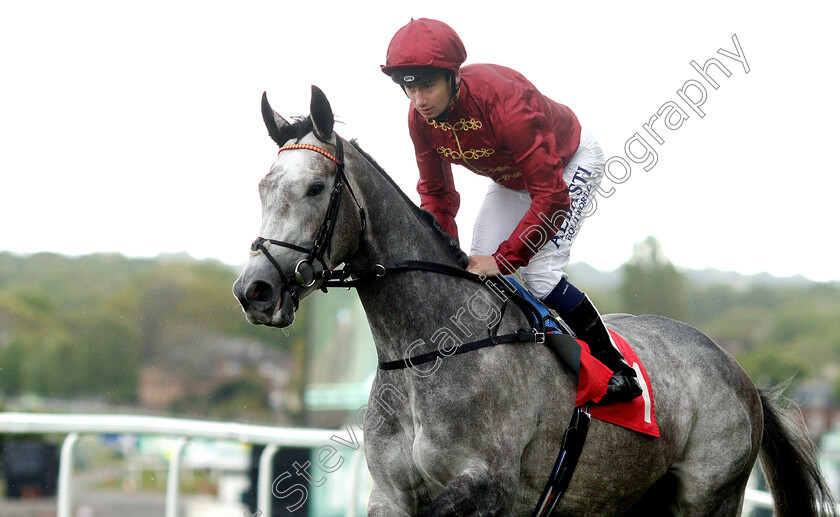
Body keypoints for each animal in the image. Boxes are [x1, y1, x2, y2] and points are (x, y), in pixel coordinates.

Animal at [235, 86, 832, 512]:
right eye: (263, 186)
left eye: (315, 188)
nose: (254, 290)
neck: (427, 349)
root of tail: (739, 372)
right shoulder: (390, 494)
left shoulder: (489, 487)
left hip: (707, 494)